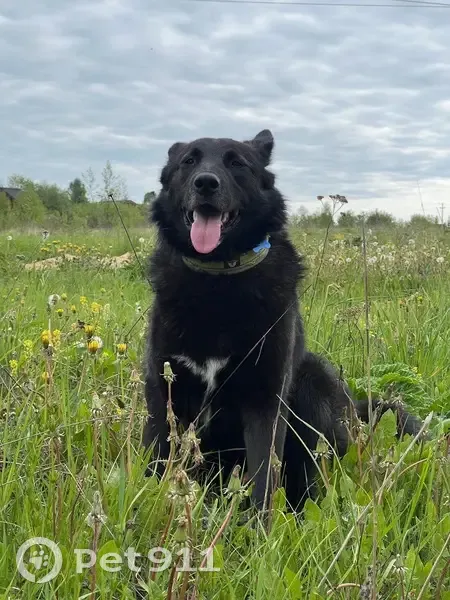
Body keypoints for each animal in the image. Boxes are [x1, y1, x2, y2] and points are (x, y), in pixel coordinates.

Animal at [142, 129, 424, 512]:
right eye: (188, 161)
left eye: (237, 163)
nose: (206, 183)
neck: (218, 281)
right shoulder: (162, 389)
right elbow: (157, 460)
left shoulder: (267, 400)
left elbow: (265, 475)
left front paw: (259, 525)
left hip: (311, 379)